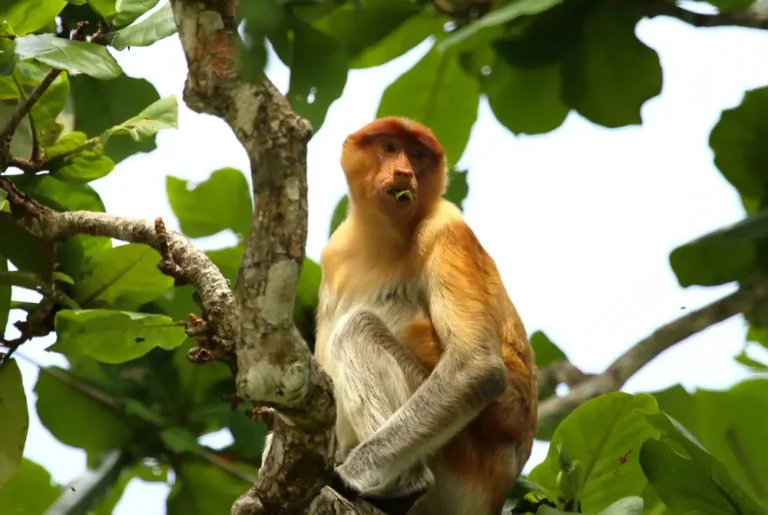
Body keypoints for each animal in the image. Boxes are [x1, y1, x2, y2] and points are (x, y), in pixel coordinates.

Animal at [261, 117, 537, 515]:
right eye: (389, 147)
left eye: (418, 154)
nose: (405, 172)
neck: (383, 235)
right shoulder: (334, 253)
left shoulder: (445, 229)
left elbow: (475, 368)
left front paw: (353, 474)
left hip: (462, 464)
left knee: (357, 329)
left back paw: (405, 485)